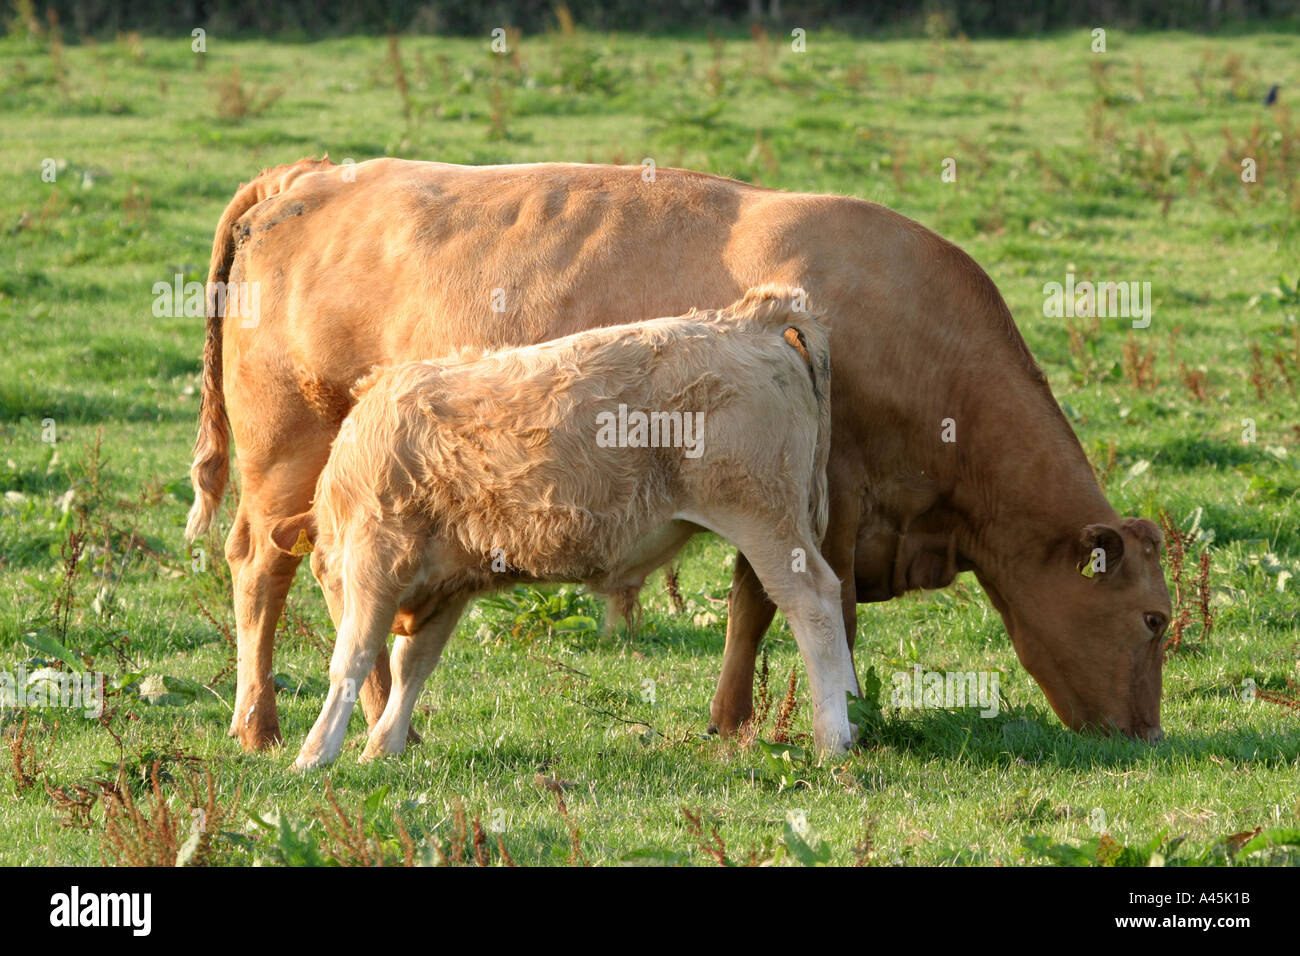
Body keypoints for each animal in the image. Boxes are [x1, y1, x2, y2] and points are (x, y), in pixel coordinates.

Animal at [273, 287, 855, 768]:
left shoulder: (376, 557)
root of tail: (747, 319)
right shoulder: (450, 581)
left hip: (764, 521)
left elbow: (351, 659)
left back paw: (833, 740)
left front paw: (315, 753)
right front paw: (383, 746)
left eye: (322, 572)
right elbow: (411, 664)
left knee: (813, 605)